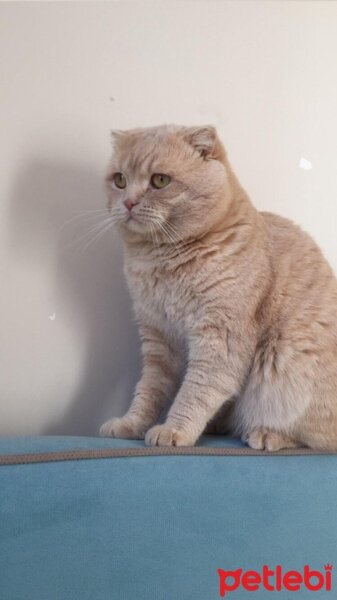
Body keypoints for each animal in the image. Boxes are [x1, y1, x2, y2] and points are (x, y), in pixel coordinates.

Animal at [98, 123, 336, 450]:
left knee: (317, 438)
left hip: (289, 360)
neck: (159, 260)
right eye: (120, 180)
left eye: (160, 180)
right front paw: (131, 424)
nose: (129, 202)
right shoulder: (158, 337)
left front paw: (174, 430)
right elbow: (149, 391)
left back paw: (266, 434)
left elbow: (195, 392)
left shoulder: (220, 338)